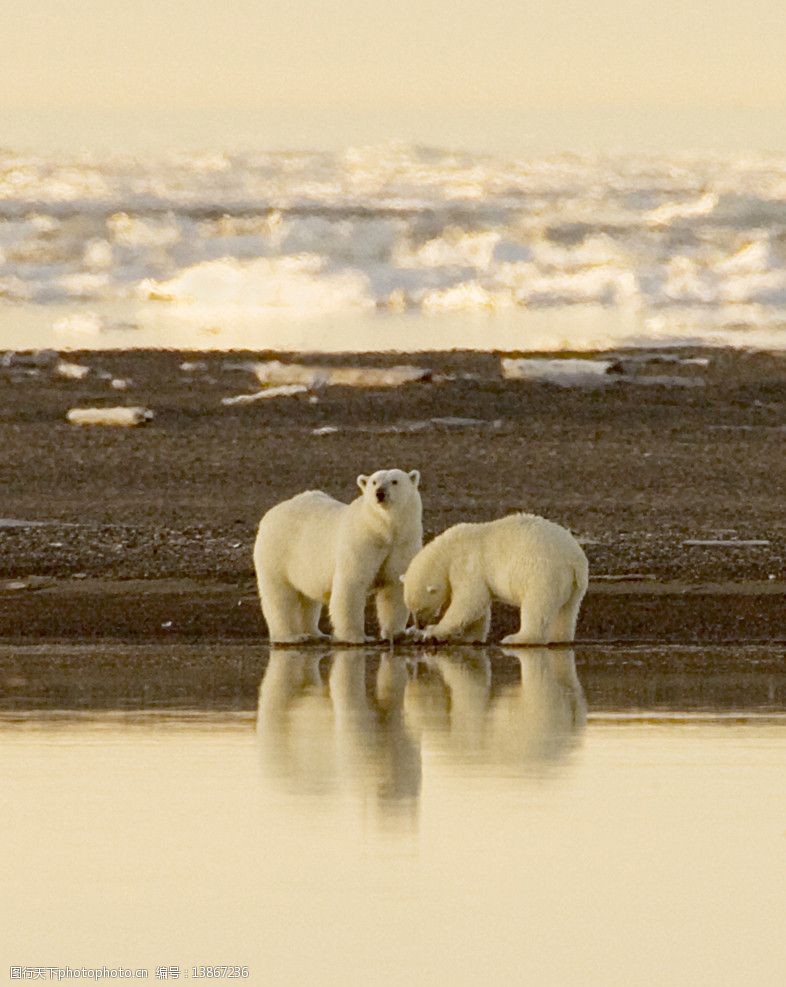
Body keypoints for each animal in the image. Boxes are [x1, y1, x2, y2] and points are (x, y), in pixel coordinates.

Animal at [254, 472, 420, 648]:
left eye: (395, 481)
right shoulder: (361, 542)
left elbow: (394, 587)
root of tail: (270, 514)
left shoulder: (401, 545)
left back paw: (316, 634)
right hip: (277, 552)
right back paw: (291, 636)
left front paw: (394, 634)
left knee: (307, 598)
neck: (383, 531)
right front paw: (357, 637)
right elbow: (351, 586)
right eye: (374, 482)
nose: (379, 493)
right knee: (280, 597)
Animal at [404, 512, 588, 644]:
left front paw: (432, 632)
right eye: (410, 609)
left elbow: (469, 601)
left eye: (419, 609)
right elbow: (476, 608)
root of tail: (575, 560)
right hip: (573, 586)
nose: (419, 624)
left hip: (544, 573)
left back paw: (516, 638)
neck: (448, 549)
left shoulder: (467, 564)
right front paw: (469, 637)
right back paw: (559, 638)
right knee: (567, 611)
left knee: (537, 606)